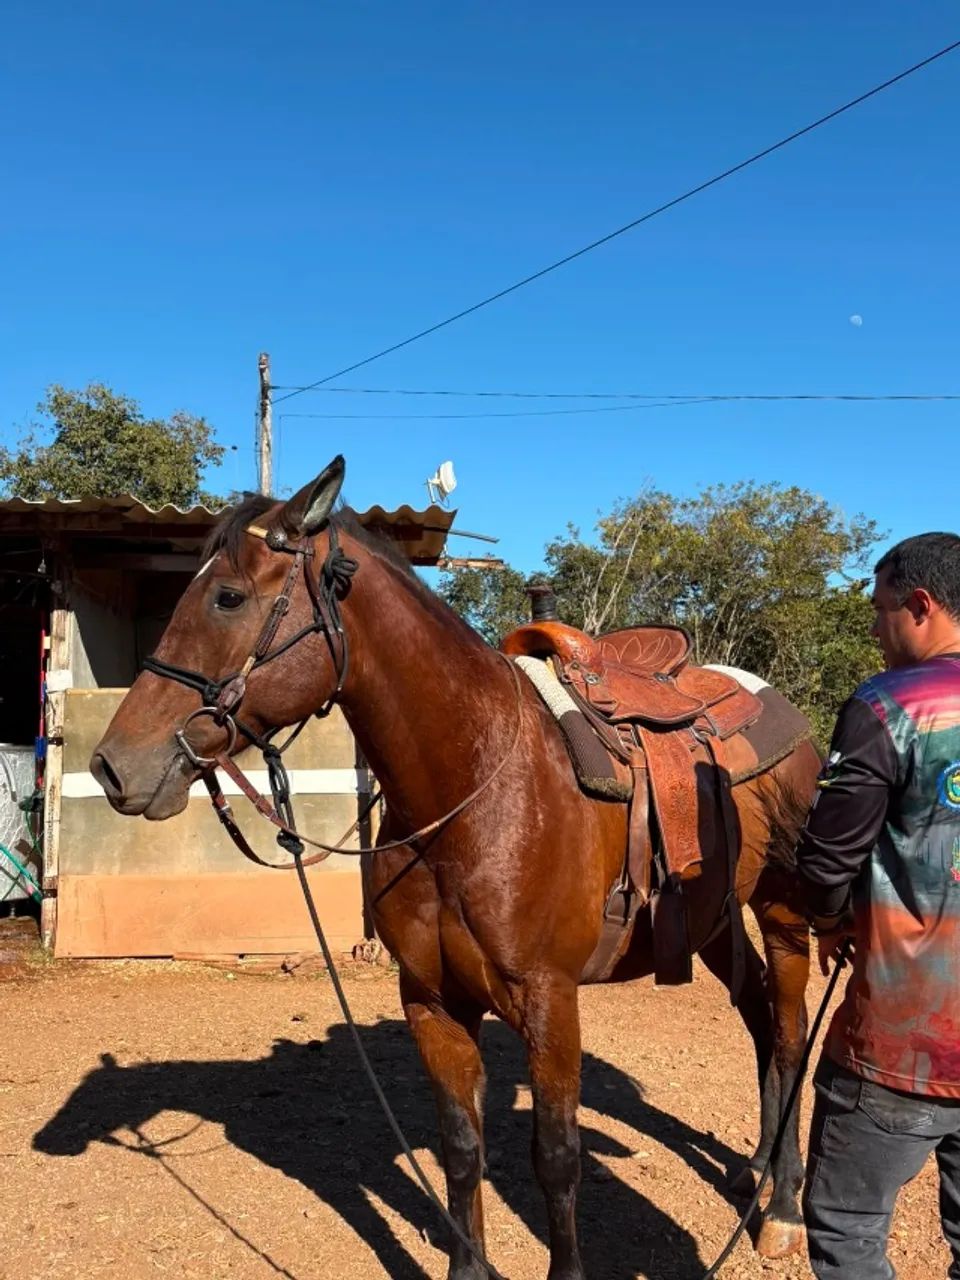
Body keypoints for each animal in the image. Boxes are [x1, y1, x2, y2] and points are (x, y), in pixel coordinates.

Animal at [91, 456, 819, 1280]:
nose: (112, 766)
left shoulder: (549, 1002)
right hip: (713, 921)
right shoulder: (433, 1001)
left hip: (783, 912)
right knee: (758, 1018)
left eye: (228, 596)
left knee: (789, 1035)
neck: (474, 791)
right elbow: (462, 1150)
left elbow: (557, 1159)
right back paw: (756, 1170)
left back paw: (784, 1209)